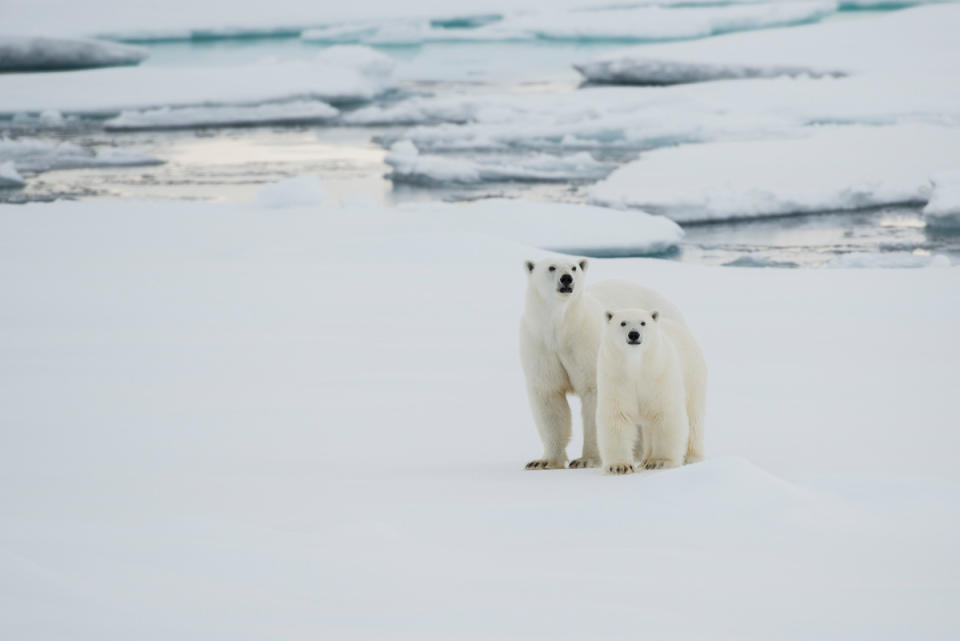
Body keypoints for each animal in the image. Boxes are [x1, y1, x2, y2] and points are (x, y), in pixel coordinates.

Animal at [520, 256, 688, 470]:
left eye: (574, 267)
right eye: (551, 267)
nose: (566, 279)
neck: (562, 328)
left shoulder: (586, 344)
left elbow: (594, 395)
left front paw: (587, 459)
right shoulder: (540, 345)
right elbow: (549, 398)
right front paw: (543, 461)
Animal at [592, 308, 704, 472]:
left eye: (643, 323)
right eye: (623, 323)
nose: (633, 334)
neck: (636, 366)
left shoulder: (659, 373)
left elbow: (665, 413)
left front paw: (660, 462)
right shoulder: (615, 377)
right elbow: (617, 415)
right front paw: (619, 467)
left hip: (692, 375)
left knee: (694, 418)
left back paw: (692, 457)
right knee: (650, 427)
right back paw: (645, 460)